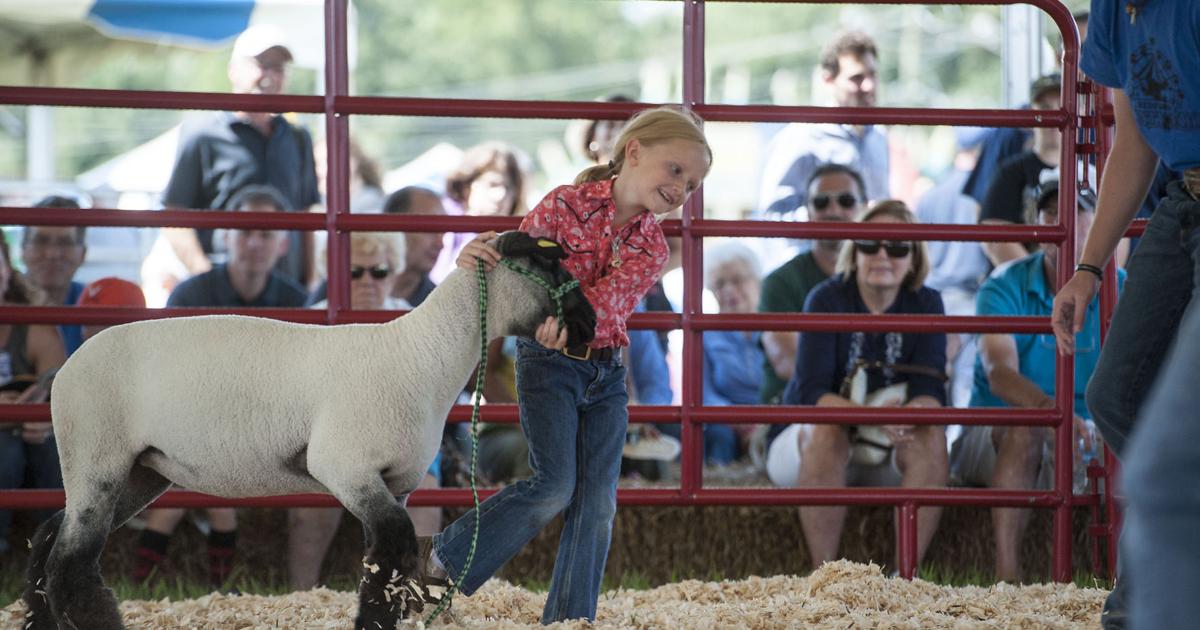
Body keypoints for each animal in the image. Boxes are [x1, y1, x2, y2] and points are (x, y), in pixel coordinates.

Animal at [21, 230, 597, 628]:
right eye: (546, 265)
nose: (590, 326)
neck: (422, 355)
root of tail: (63, 371)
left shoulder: (395, 482)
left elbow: (387, 561)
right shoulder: (342, 464)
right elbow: (390, 551)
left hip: (139, 470)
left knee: (49, 537)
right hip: (97, 453)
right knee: (70, 560)